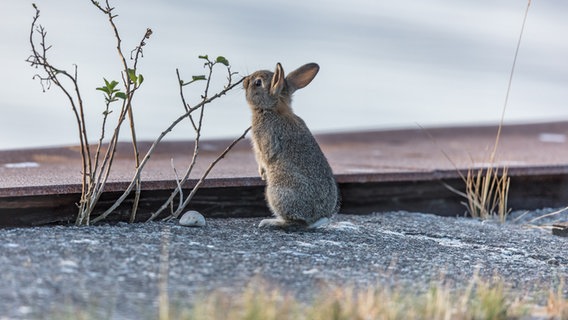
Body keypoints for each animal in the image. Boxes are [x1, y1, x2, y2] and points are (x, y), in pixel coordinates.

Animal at [242, 62, 340, 228]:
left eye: (258, 83)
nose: (244, 81)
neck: (271, 109)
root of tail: (316, 219)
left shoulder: (265, 142)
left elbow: (264, 157)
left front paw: (262, 173)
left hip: (276, 191)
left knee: (295, 222)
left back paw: (270, 222)